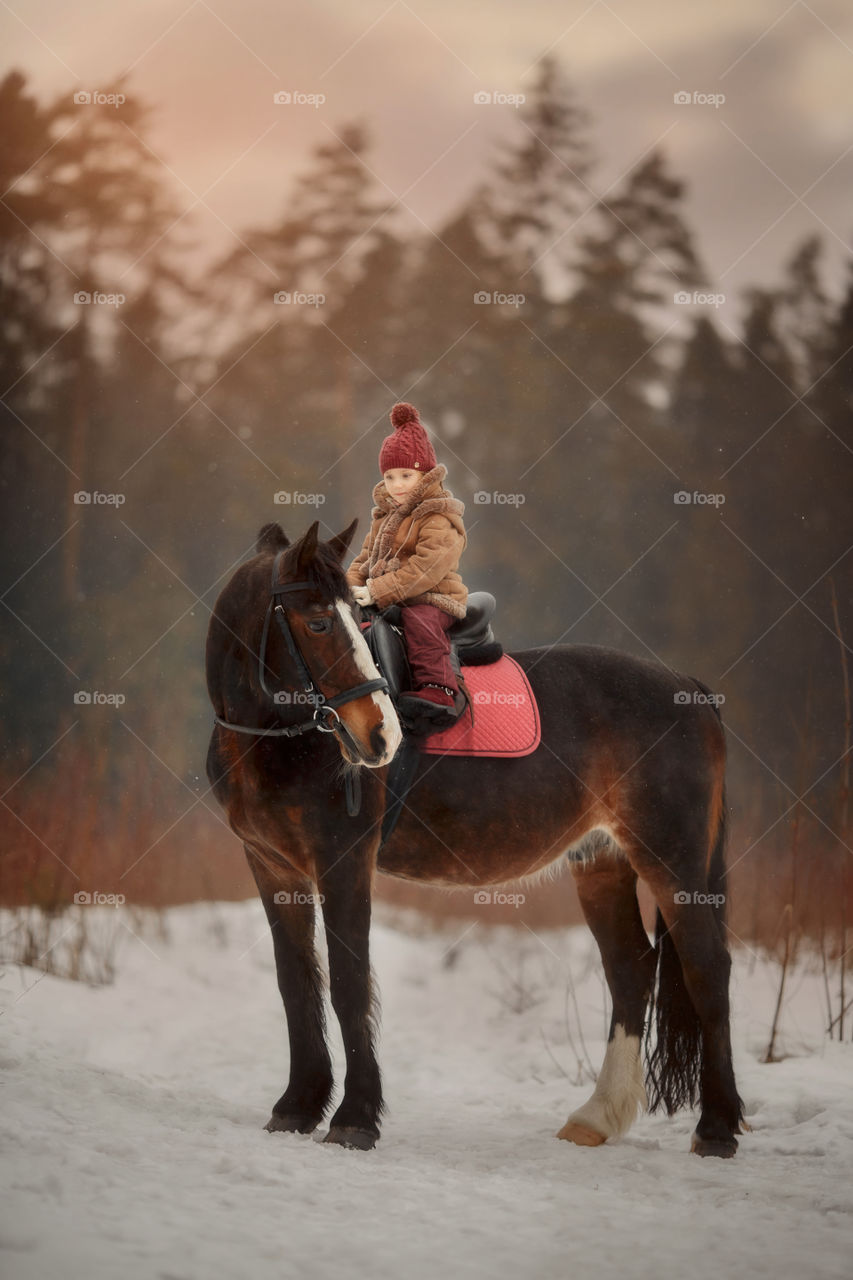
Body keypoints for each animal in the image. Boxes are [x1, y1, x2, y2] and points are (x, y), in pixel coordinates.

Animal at [202, 514, 742, 1157]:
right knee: (631, 970)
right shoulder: (272, 865)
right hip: (602, 861)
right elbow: (297, 983)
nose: (379, 735)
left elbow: (350, 984)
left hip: (673, 859)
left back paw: (717, 1129)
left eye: (348, 617)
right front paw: (297, 1106)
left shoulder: (343, 861)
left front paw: (355, 1118)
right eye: (317, 621)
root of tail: (690, 689)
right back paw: (597, 1116)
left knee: (706, 969)